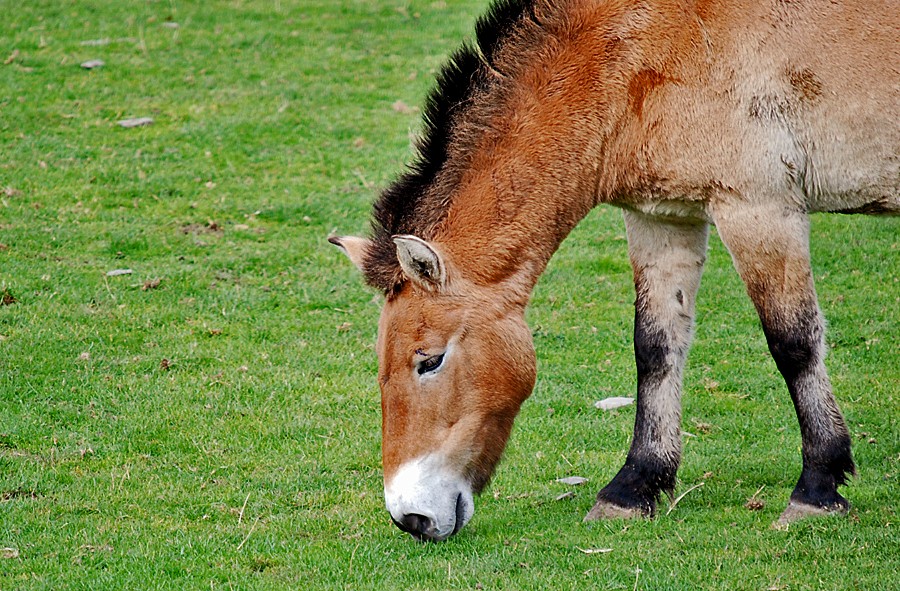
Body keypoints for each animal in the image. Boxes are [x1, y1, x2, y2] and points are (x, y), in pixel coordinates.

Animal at [329, 0, 898, 542]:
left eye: (429, 361)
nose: (411, 517)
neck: (645, 42)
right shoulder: (661, 218)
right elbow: (656, 348)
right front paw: (634, 488)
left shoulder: (760, 209)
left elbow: (794, 343)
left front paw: (817, 489)